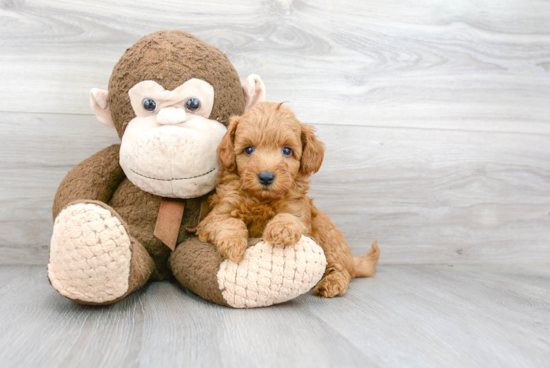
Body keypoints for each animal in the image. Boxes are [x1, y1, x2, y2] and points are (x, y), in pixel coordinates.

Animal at [196, 102, 382, 298]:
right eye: (249, 150)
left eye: (286, 150)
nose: (266, 177)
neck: (262, 200)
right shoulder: (217, 214)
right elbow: (229, 222)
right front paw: (234, 245)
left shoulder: (297, 211)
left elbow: (288, 217)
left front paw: (280, 230)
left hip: (329, 240)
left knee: (341, 270)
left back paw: (332, 283)